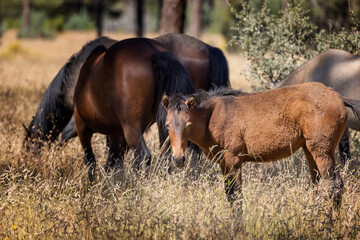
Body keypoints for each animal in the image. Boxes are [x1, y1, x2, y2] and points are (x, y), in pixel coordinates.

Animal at [163, 82, 360, 206]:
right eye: (167, 125)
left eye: (188, 125)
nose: (178, 159)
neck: (214, 115)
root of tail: (338, 96)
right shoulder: (224, 164)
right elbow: (230, 196)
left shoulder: (233, 161)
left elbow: (236, 197)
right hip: (310, 151)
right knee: (320, 186)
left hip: (322, 151)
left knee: (334, 186)